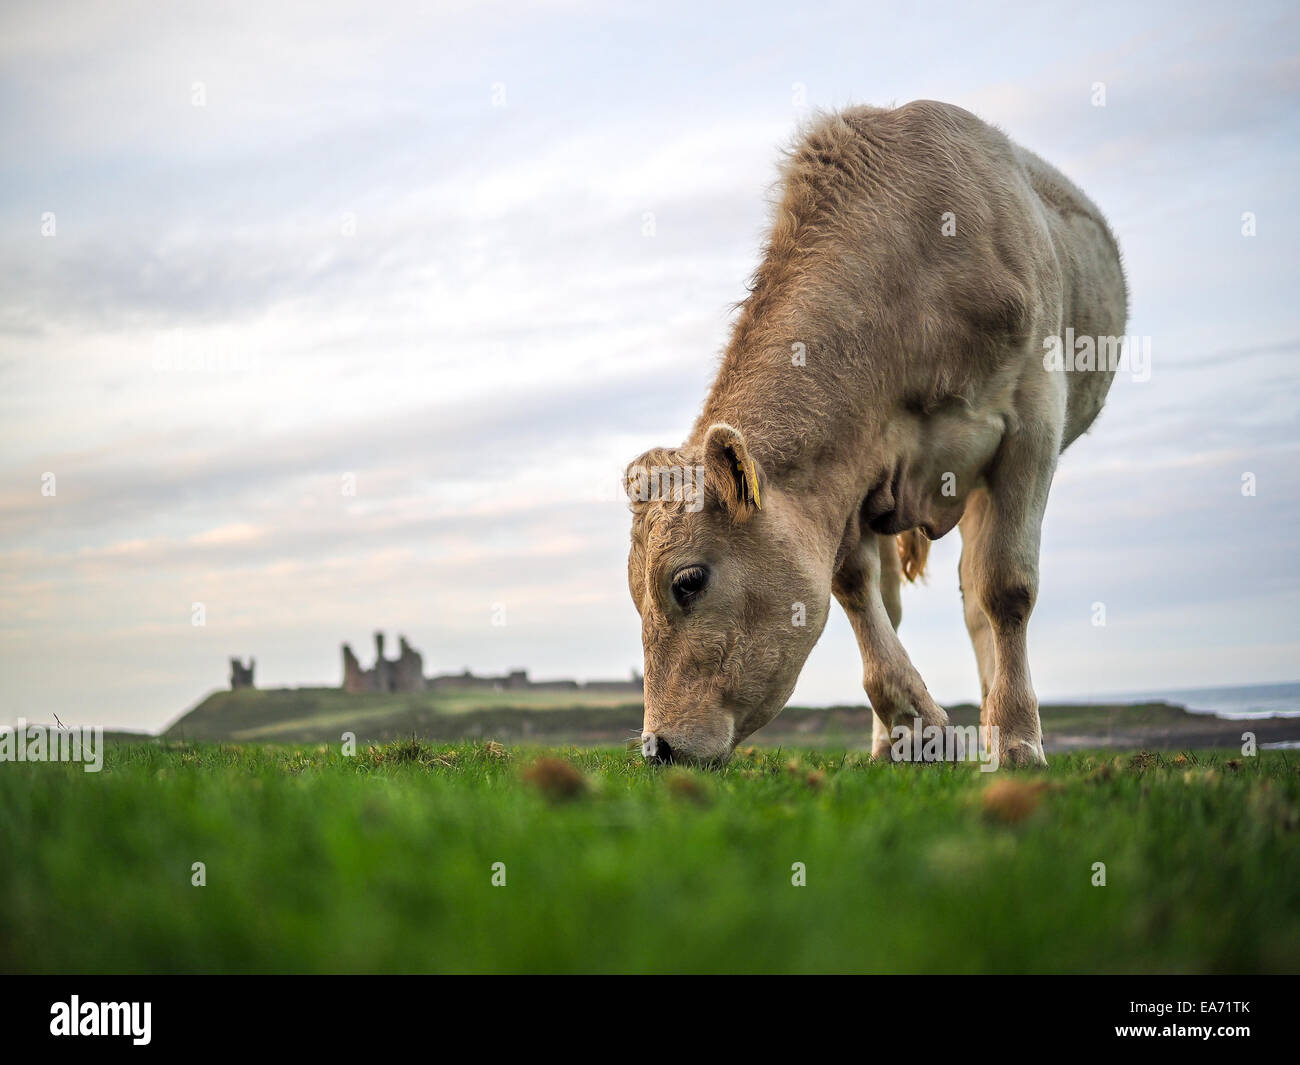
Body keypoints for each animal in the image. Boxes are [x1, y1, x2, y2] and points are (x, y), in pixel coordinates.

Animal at [624, 100, 1127, 768]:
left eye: (687, 581)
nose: (658, 746)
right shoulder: (851, 467)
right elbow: (857, 589)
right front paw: (913, 723)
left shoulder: (1032, 425)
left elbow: (1007, 588)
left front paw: (1019, 740)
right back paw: (890, 742)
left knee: (979, 600)